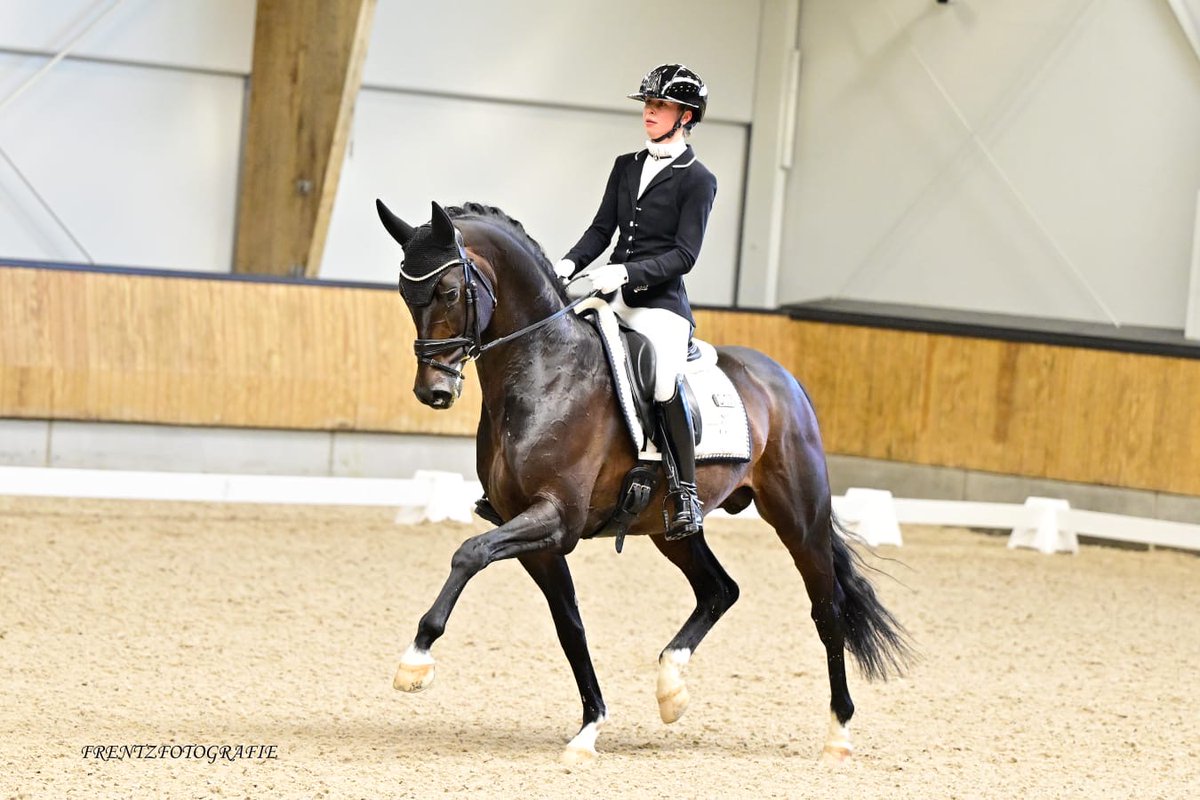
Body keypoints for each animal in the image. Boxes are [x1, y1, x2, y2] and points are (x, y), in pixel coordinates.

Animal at [375, 198, 912, 763]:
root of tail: (784, 379)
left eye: (449, 292)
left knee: (827, 611)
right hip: (670, 528)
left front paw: (415, 660)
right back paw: (671, 688)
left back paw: (838, 734)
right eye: (405, 294)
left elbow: (469, 554)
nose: (433, 391)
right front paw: (590, 728)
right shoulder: (537, 536)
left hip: (799, 518)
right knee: (720, 589)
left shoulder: (556, 518)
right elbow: (569, 625)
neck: (544, 370)